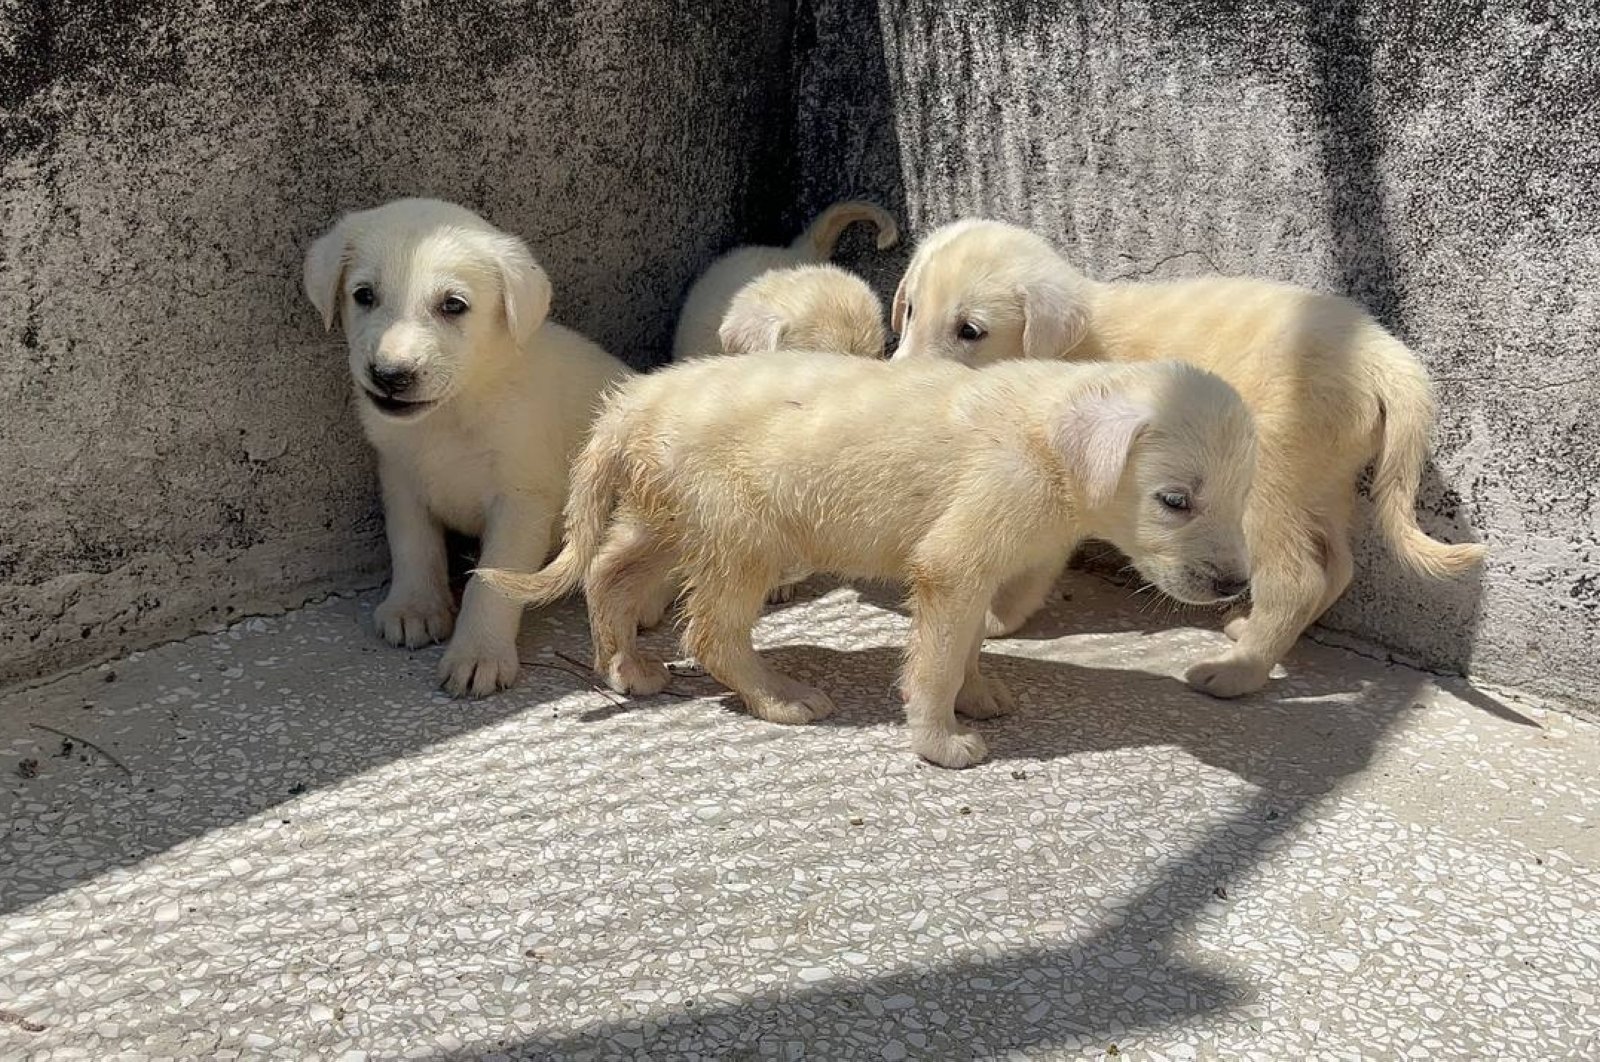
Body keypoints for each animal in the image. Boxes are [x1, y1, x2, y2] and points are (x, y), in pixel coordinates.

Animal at [473, 351, 1248, 767]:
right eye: (1175, 500)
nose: (1234, 584)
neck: (1050, 441)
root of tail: (630, 404)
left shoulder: (978, 569)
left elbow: (965, 642)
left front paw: (978, 692)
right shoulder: (956, 559)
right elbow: (937, 658)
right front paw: (941, 740)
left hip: (666, 515)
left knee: (608, 572)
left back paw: (624, 666)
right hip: (741, 530)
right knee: (711, 631)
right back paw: (779, 696)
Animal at [889, 215, 1484, 697]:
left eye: (970, 331)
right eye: (910, 308)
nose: (897, 377)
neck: (1078, 341)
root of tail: (1385, 356)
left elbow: (1036, 561)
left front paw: (995, 617)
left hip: (1267, 483)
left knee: (1297, 580)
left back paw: (1238, 672)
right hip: (1321, 481)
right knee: (1337, 567)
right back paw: (1252, 635)